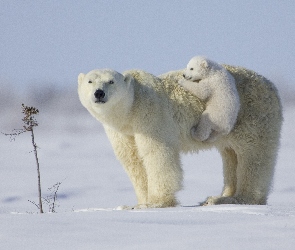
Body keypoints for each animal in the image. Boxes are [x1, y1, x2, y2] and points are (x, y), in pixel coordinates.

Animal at [77, 65, 284, 209]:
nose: (99, 93)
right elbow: (133, 161)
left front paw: (156, 203)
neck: (131, 109)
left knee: (252, 156)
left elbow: (157, 155)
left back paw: (241, 198)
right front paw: (139, 202)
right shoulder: (121, 132)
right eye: (90, 82)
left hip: (251, 115)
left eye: (111, 81)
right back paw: (219, 197)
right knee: (230, 155)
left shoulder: (150, 115)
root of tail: (272, 86)